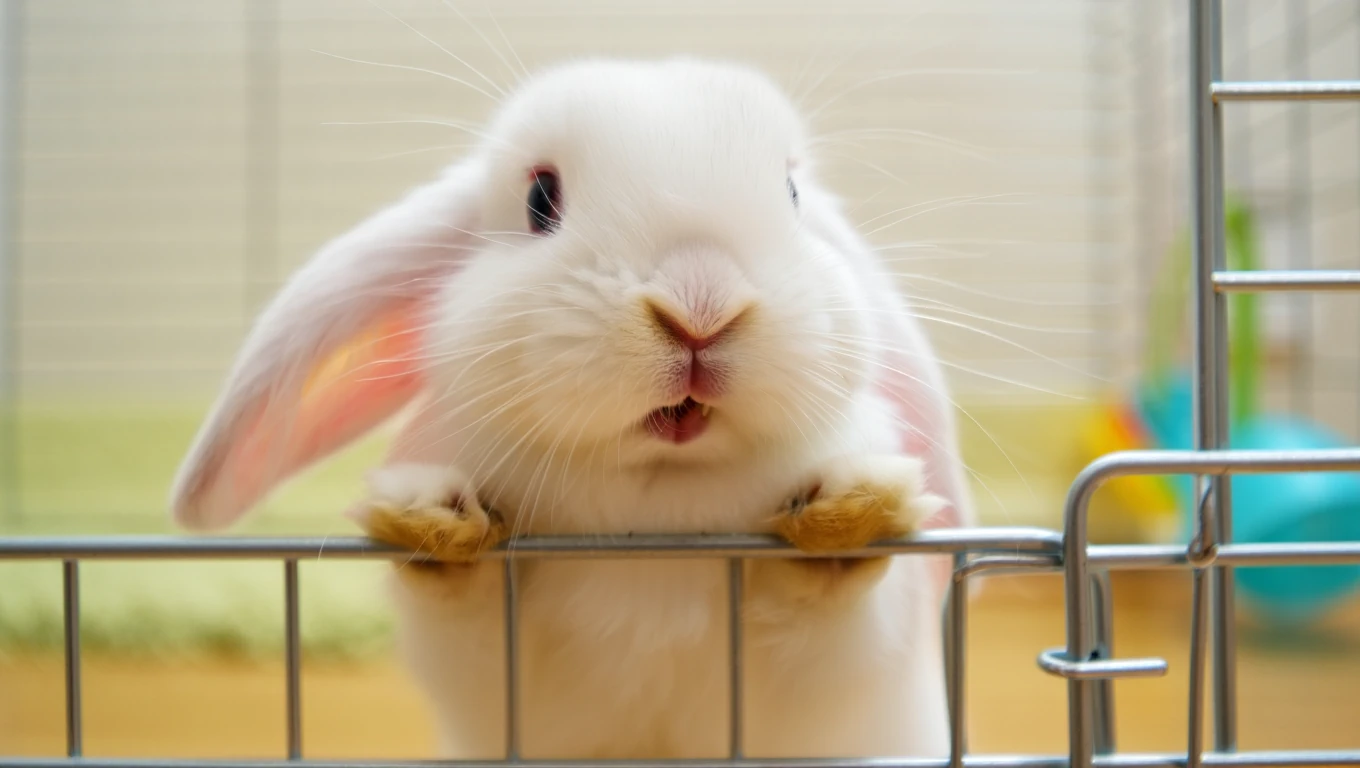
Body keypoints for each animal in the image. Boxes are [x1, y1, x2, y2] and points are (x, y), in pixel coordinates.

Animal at [169, 57, 975, 760]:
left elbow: (823, 606)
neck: (653, 513)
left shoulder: (827, 677)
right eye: (539, 200)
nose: (701, 308)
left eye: (792, 195)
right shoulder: (499, 681)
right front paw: (431, 520)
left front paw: (853, 508)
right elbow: (470, 613)